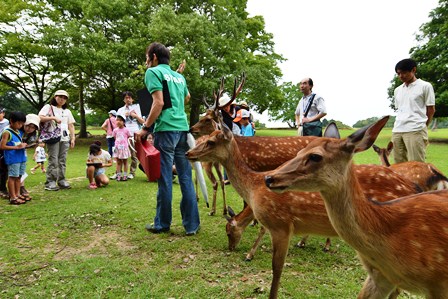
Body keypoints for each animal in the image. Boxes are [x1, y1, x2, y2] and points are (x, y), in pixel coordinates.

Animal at [186, 122, 424, 299]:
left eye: (210, 141)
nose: (188, 153)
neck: (253, 186)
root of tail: (414, 186)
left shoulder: (281, 223)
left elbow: (276, 269)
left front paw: (249, 255)